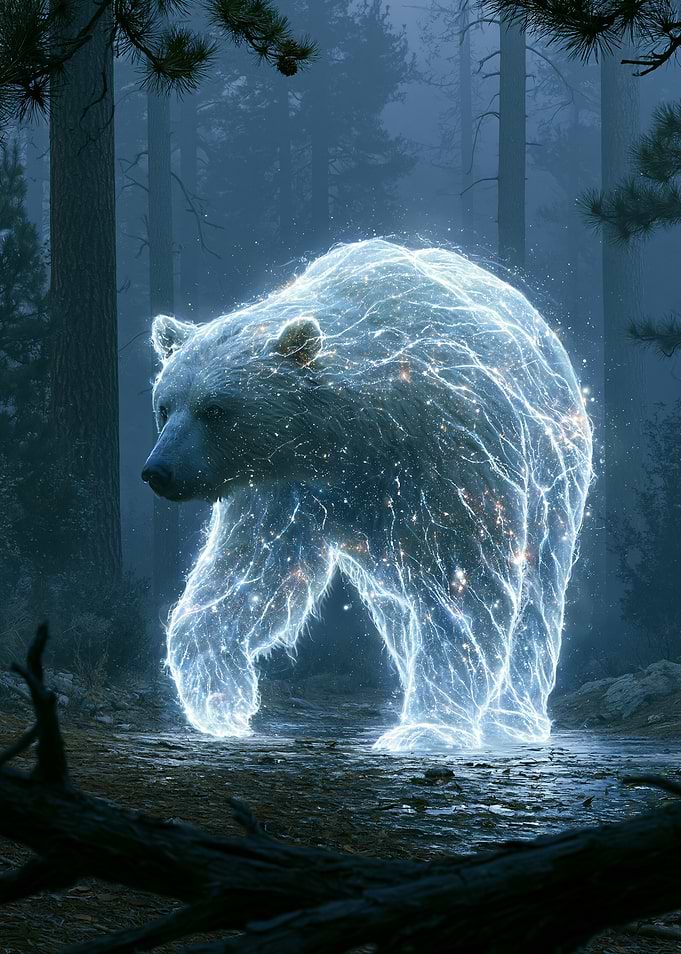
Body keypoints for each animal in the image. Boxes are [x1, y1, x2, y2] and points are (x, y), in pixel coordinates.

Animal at [143, 239, 592, 750]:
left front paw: (426, 729)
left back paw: (513, 718)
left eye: (215, 409)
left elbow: (466, 586)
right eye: (165, 405)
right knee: (398, 611)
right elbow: (247, 577)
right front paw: (221, 698)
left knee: (537, 594)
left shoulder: (447, 452)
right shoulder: (285, 492)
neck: (352, 434)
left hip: (553, 477)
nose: (158, 471)